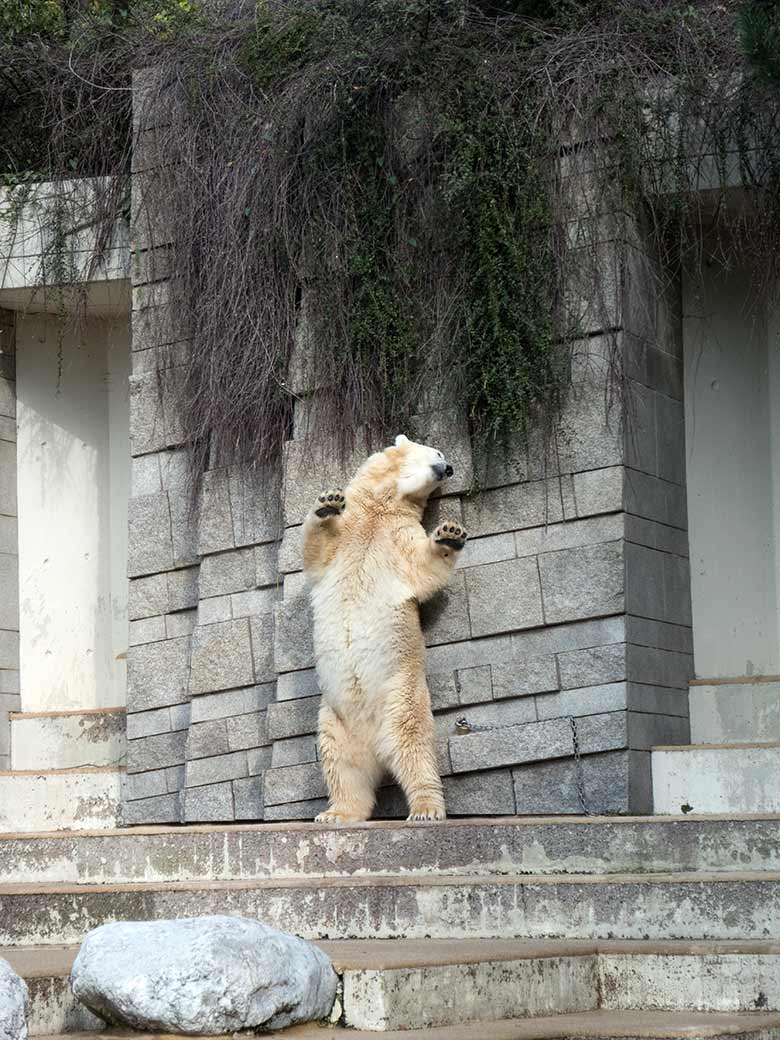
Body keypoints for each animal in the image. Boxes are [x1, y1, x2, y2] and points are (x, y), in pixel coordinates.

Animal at [303, 430, 463, 819]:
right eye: (439, 452)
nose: (449, 467)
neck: (379, 506)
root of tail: (373, 743)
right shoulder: (351, 533)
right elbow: (317, 551)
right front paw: (327, 502)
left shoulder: (398, 536)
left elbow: (422, 569)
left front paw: (449, 534)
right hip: (335, 719)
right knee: (342, 766)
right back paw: (338, 812)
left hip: (400, 695)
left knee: (413, 748)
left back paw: (425, 808)